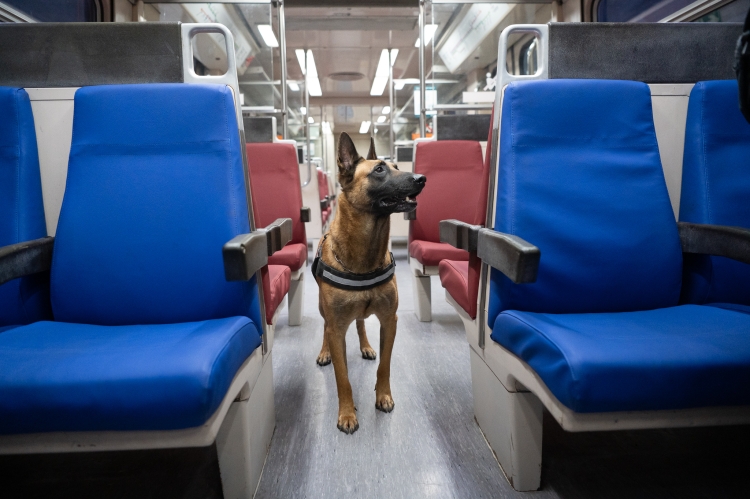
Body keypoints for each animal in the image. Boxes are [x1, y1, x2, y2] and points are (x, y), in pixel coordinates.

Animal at [312, 132, 428, 434]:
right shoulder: (337, 328)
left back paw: (365, 346)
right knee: (325, 328)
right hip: (324, 312)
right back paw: (324, 352)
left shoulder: (389, 321)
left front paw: (383, 396)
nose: (422, 178)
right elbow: (343, 378)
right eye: (379, 170)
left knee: (361, 323)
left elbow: (384, 366)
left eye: (397, 166)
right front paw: (346, 413)